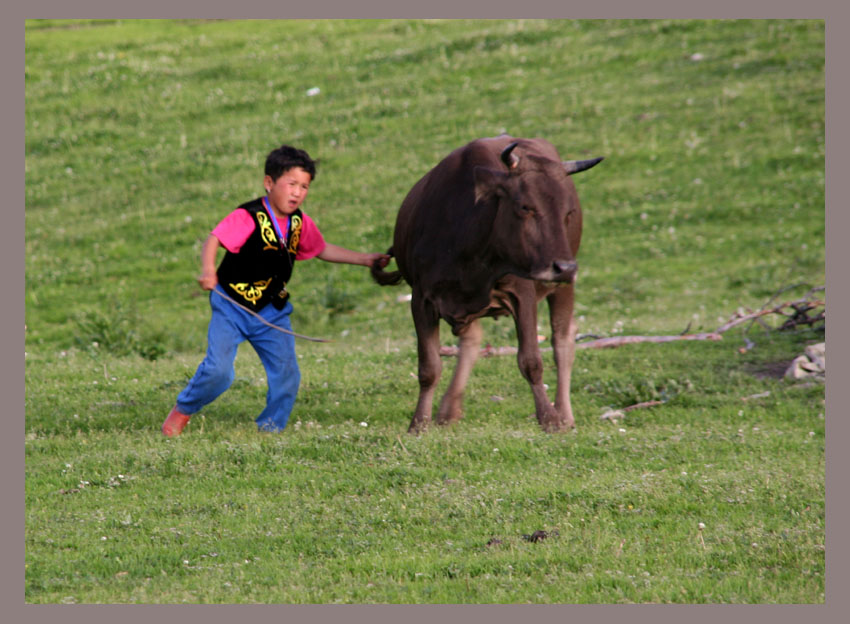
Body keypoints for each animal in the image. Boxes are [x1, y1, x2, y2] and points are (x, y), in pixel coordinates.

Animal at [372, 133, 604, 432]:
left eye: (568, 212)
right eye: (525, 206)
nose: (565, 268)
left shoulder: (522, 294)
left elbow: (531, 361)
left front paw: (549, 418)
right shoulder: (422, 298)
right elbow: (429, 368)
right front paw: (419, 424)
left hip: (562, 288)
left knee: (562, 339)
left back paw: (564, 414)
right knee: (472, 340)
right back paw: (449, 409)